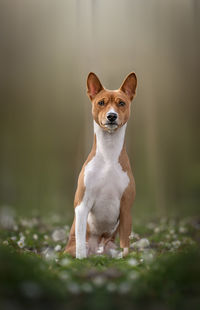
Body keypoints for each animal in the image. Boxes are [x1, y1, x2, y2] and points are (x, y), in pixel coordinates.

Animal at [65, 71, 137, 258]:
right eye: (101, 102)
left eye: (121, 103)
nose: (111, 116)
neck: (109, 157)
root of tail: (98, 250)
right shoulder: (82, 205)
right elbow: (80, 241)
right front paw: (80, 260)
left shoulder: (126, 207)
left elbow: (125, 243)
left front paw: (127, 260)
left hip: (110, 245)